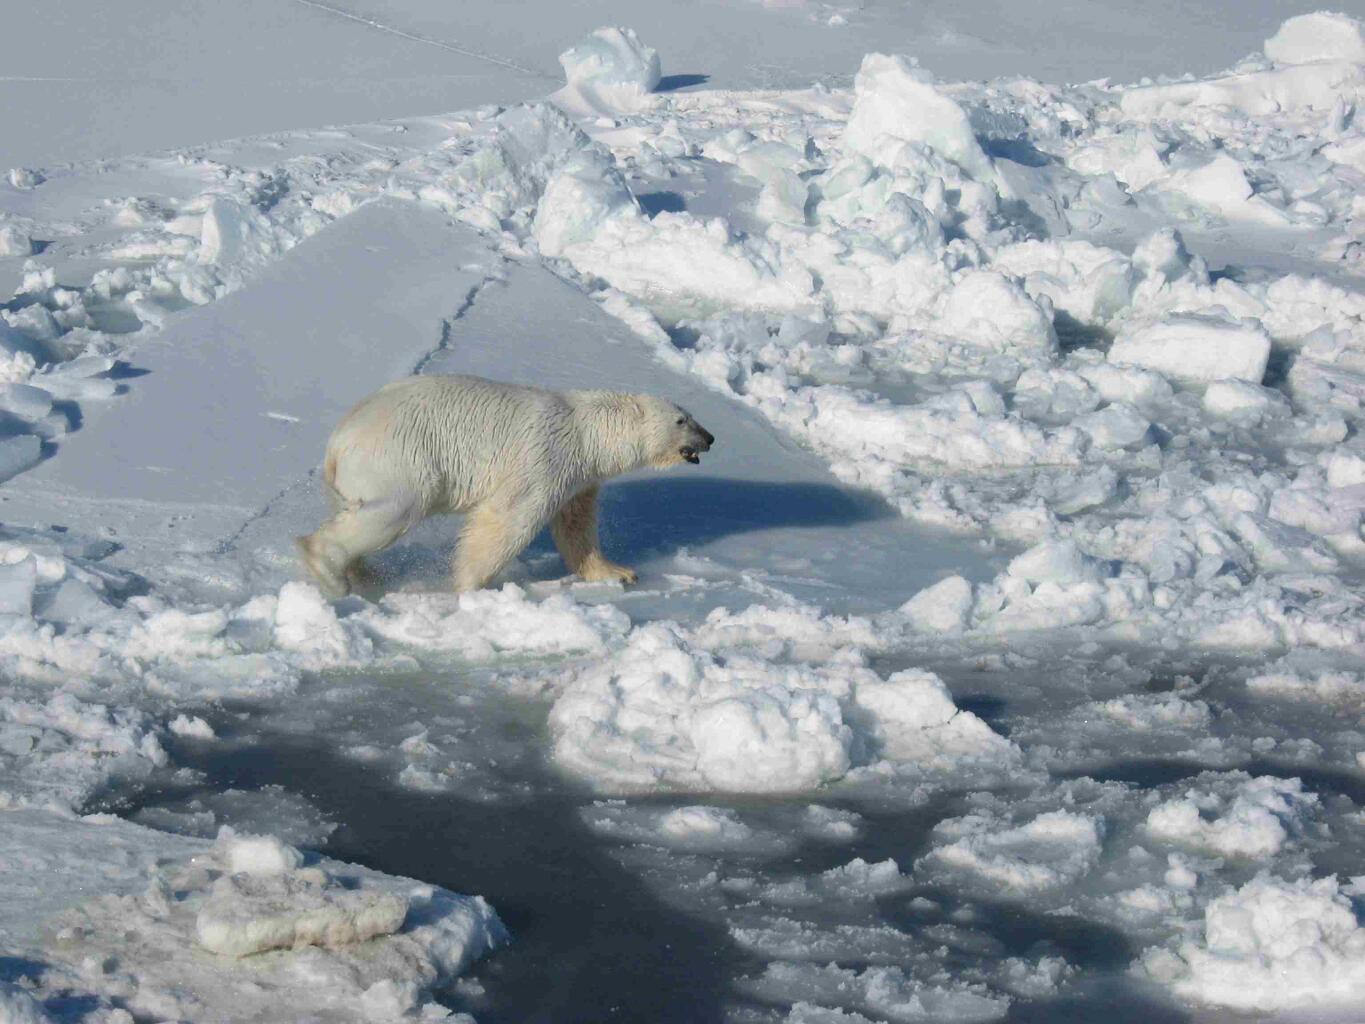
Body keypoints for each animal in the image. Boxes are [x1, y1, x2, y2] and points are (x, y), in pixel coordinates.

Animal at [296, 374, 715, 600]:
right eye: (682, 420)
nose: (710, 437)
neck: (587, 430)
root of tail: (338, 441)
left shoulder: (579, 477)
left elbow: (576, 526)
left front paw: (618, 572)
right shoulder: (546, 456)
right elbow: (510, 516)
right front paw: (470, 585)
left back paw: (365, 577)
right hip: (401, 458)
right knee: (393, 509)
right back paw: (329, 569)